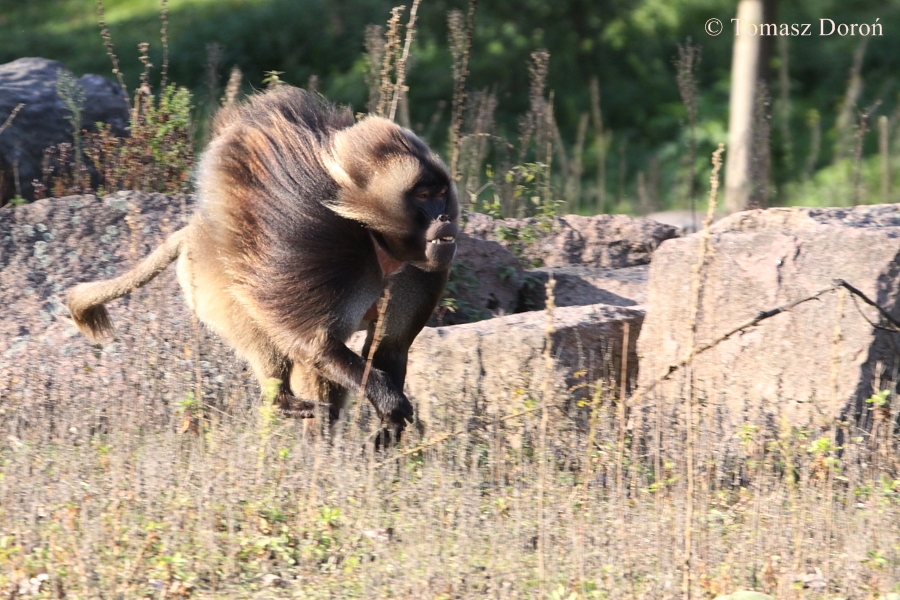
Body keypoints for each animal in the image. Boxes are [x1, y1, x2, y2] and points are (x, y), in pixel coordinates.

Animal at [66, 87, 459, 437]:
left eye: (441, 194)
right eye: (423, 195)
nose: (445, 220)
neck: (376, 239)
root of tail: (195, 233)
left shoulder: (417, 273)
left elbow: (389, 347)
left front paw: (388, 430)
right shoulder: (321, 247)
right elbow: (315, 344)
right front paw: (389, 402)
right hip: (213, 289)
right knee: (273, 341)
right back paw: (287, 405)